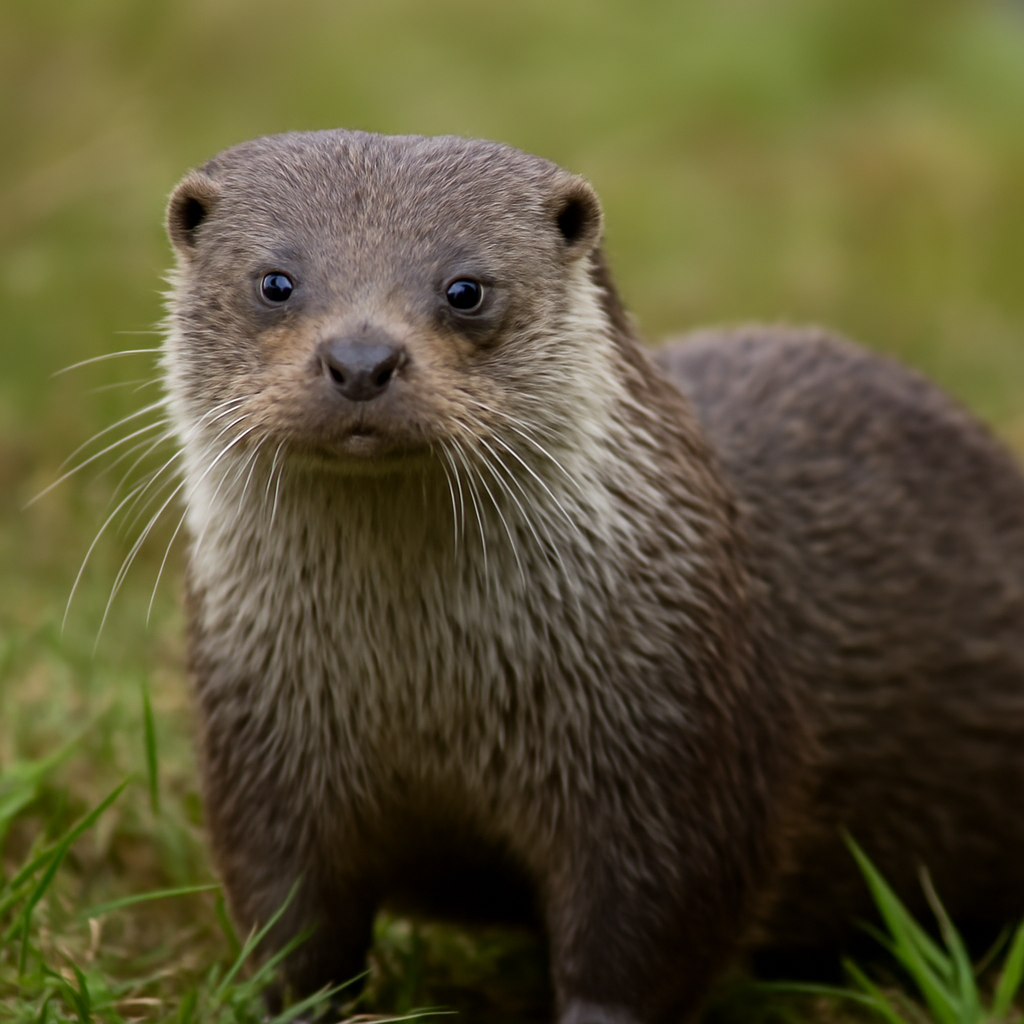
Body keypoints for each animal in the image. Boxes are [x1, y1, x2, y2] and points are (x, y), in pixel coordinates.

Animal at [162, 130, 1024, 1024]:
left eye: (466, 289)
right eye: (275, 281)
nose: (361, 357)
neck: (424, 695)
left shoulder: (669, 761)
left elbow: (641, 936)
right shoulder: (261, 755)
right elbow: (288, 921)